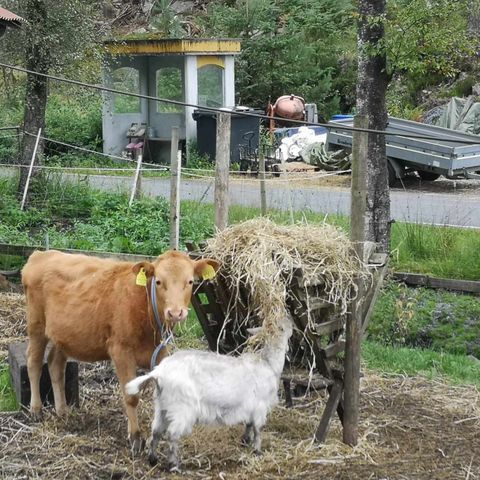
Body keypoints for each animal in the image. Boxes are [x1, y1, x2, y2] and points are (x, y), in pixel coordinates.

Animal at [20, 249, 219, 452]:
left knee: (55, 365)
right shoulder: (121, 351)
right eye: (158, 281)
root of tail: (41, 254)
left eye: (190, 281)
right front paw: (135, 437)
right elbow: (131, 397)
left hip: (63, 336)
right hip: (36, 326)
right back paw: (36, 410)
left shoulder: (161, 352)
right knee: (34, 362)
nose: (176, 312)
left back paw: (62, 411)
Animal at [125, 316, 292, 470]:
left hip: (162, 406)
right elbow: (258, 429)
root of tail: (159, 372)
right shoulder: (260, 407)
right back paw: (174, 465)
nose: (290, 319)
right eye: (283, 326)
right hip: (181, 408)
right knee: (172, 434)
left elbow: (249, 425)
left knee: (156, 432)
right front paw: (257, 451)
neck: (268, 363)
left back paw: (153, 459)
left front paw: (245, 441)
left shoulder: (250, 407)